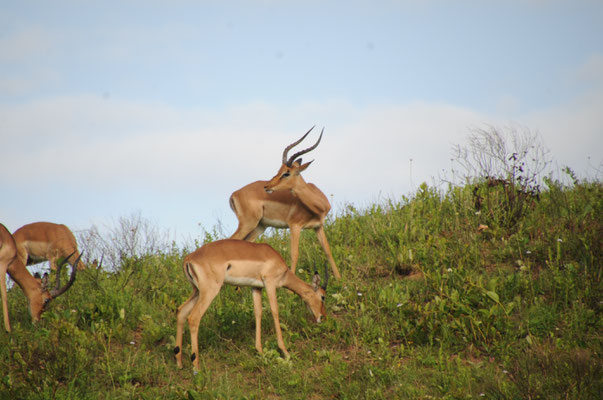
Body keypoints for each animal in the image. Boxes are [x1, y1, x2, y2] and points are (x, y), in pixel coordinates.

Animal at [175, 239, 328, 370]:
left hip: (197, 291)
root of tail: (189, 258)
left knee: (181, 311)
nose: (322, 317)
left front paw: (260, 351)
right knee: (194, 317)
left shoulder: (256, 288)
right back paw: (196, 367)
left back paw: (179, 363)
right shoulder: (270, 283)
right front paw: (285, 352)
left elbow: (258, 312)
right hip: (209, 291)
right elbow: (275, 311)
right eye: (323, 297)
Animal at [228, 127, 340, 278]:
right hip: (248, 224)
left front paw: (339, 279)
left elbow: (328, 251)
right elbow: (294, 254)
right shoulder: (295, 226)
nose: (267, 186)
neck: (318, 206)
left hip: (259, 226)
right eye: (280, 170)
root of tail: (234, 194)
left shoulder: (318, 226)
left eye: (286, 173)